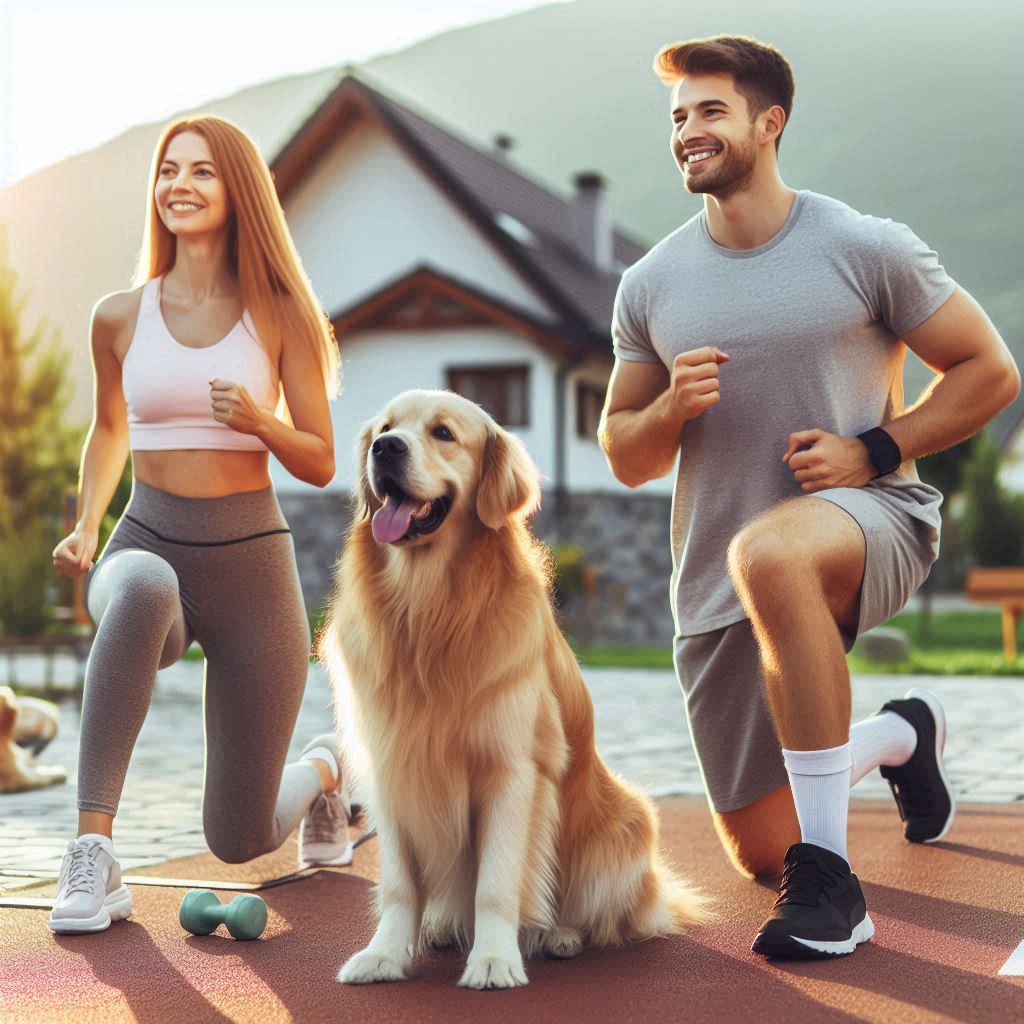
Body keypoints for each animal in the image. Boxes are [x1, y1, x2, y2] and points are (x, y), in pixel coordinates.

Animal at [319, 387, 704, 987]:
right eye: (384, 428)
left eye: (443, 433)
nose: (385, 449)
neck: (428, 611)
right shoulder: (394, 767)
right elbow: (401, 885)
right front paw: (384, 954)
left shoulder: (511, 769)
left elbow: (497, 884)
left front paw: (495, 959)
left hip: (627, 827)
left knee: (605, 920)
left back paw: (559, 935)